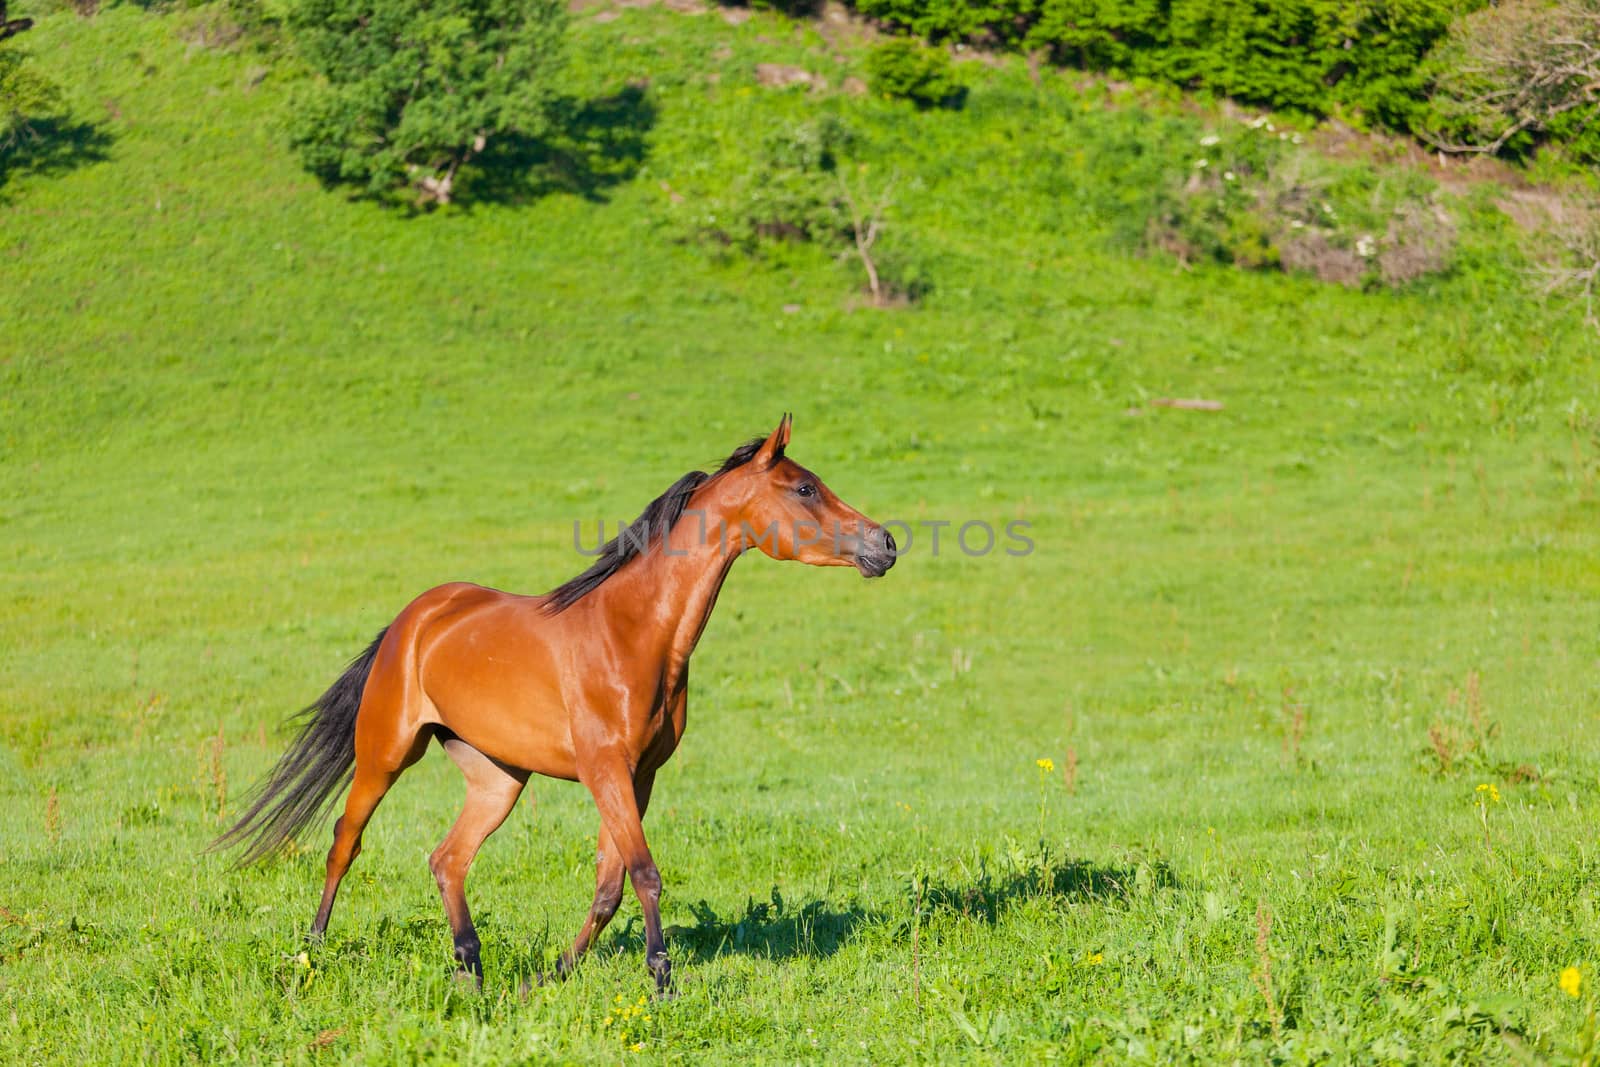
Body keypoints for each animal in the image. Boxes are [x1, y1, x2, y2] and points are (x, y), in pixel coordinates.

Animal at [216, 415, 902, 991]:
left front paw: (549, 977)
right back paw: (312, 952)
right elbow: (644, 873)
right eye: (805, 489)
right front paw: (662, 981)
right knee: (345, 841)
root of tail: (415, 618)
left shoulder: (637, 776)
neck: (632, 634)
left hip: (498, 777)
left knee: (447, 859)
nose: (886, 543)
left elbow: (610, 887)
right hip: (385, 753)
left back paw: (471, 968)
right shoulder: (606, 771)